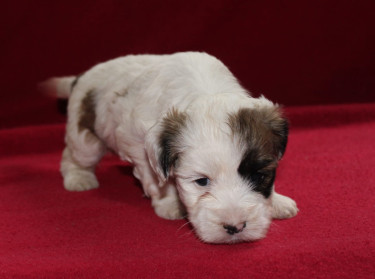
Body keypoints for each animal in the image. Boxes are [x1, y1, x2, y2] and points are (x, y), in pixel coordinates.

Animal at [42, 52, 298, 243]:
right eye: (202, 181)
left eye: (259, 176)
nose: (235, 227)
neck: (207, 90)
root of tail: (80, 77)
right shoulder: (139, 143)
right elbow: (156, 178)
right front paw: (170, 203)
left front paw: (277, 201)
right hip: (86, 137)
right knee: (73, 155)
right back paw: (79, 178)